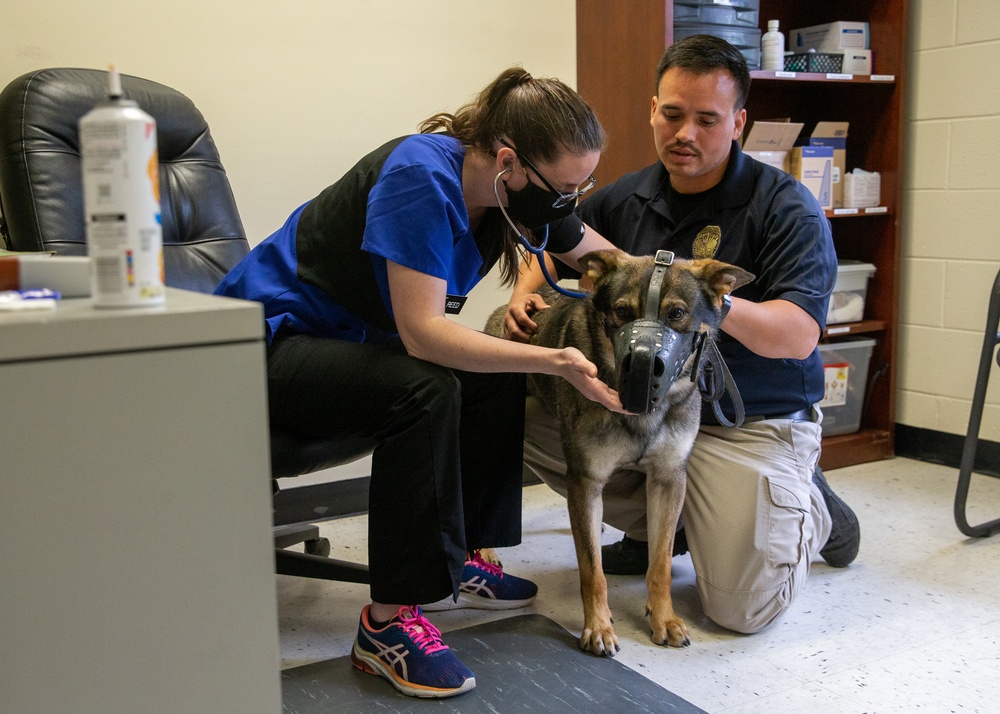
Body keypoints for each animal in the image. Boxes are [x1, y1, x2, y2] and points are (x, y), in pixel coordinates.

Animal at [484, 249, 752, 656]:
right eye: (623, 312)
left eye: (676, 313)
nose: (643, 364)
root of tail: (501, 312)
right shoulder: (586, 480)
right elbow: (591, 570)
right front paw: (597, 627)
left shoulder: (668, 480)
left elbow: (660, 565)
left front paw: (663, 619)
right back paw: (482, 554)